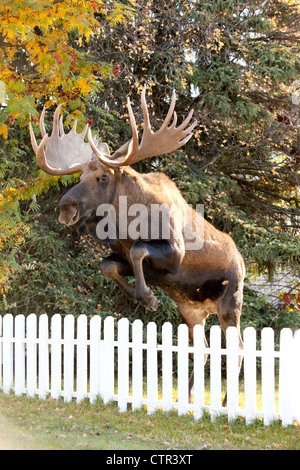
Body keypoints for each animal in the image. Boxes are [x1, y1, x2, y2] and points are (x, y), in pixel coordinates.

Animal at [30, 85, 245, 400]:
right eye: (80, 175)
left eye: (103, 177)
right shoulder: (122, 257)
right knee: (204, 349)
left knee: (237, 349)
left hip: (230, 300)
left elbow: (139, 249)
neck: (127, 225)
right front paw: (143, 296)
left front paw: (148, 298)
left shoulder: (175, 253)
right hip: (192, 309)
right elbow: (108, 265)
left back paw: (226, 402)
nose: (65, 208)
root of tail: (242, 261)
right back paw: (187, 398)